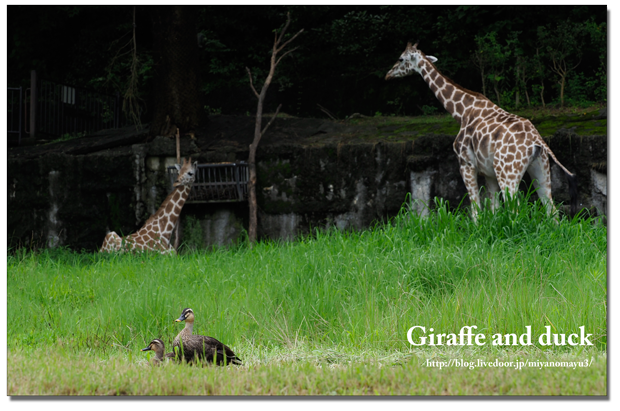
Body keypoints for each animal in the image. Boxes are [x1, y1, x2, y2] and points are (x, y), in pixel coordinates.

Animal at [386, 42, 580, 220]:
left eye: (401, 59)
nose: (388, 75)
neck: (462, 112)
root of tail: (537, 141)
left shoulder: (466, 164)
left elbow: (476, 210)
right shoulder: (488, 172)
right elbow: (494, 209)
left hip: (507, 173)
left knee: (517, 210)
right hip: (540, 169)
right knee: (551, 209)